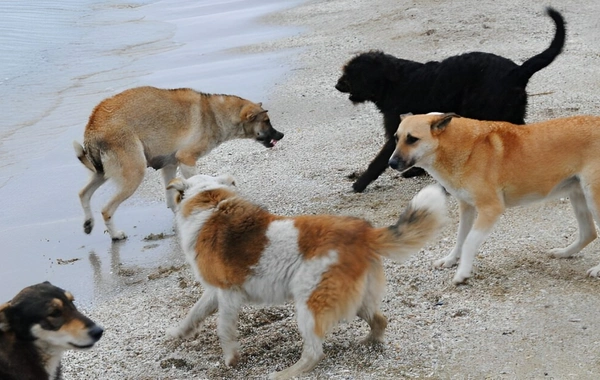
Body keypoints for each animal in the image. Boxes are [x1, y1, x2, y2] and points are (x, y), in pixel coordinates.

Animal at [73, 87, 284, 239]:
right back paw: (115, 235)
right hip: (134, 173)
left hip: (101, 173)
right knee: (106, 210)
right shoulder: (187, 159)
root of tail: (93, 125)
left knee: (83, 194)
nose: (281, 135)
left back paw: (88, 222)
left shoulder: (170, 165)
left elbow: (170, 196)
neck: (214, 114)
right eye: (266, 121)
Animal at [164, 174, 446, 378]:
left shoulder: (229, 294)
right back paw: (368, 343)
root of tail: (363, 232)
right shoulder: (215, 292)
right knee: (380, 320)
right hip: (354, 298)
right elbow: (194, 313)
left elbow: (224, 329)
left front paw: (231, 358)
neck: (208, 200)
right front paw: (178, 333)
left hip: (309, 303)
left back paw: (284, 374)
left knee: (314, 353)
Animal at [336, 7, 564, 193]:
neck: (395, 81)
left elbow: (380, 160)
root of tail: (517, 71)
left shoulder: (398, 130)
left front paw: (359, 184)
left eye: (350, 74)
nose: (337, 85)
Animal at [386, 113, 600, 284]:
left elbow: (470, 241)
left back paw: (596, 270)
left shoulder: (491, 208)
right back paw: (563, 253)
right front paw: (450, 260)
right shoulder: (467, 208)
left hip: (593, 199)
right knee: (588, 233)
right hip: (578, 194)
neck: (462, 146)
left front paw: (462, 273)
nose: (391, 163)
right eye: (396, 138)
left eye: (412, 139)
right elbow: (460, 238)